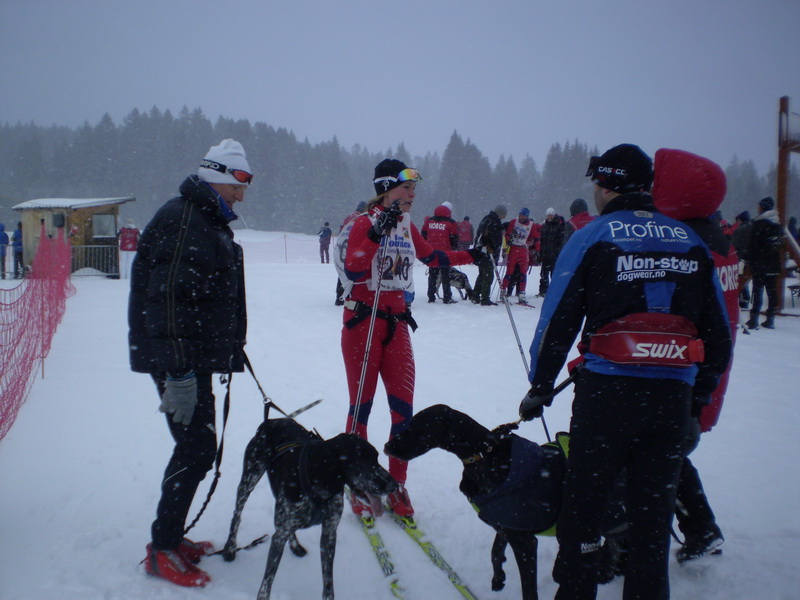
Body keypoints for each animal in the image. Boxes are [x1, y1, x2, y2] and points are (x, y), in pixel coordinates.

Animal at [223, 420, 398, 600]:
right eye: (362, 460)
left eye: (376, 458)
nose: (394, 485)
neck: (318, 482)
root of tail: (270, 421)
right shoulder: (279, 537)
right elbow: (267, 581)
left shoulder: (329, 533)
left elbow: (328, 582)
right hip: (249, 479)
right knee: (237, 514)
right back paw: (230, 548)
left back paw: (295, 546)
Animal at [384, 404, 564, 600]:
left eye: (416, 427)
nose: (386, 446)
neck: (484, 455)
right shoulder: (502, 524)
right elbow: (495, 551)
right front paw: (498, 578)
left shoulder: (524, 543)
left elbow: (528, 590)